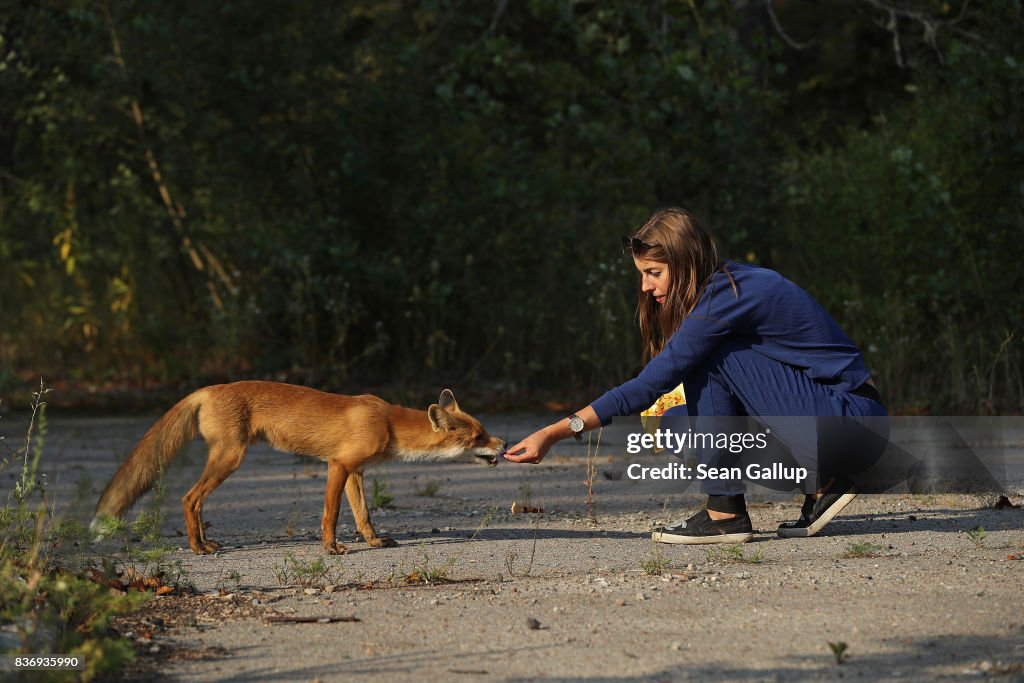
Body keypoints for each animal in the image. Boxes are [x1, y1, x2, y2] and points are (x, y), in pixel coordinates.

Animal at [90, 385, 505, 557]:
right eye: (478, 436)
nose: (503, 445)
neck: (388, 423)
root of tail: (208, 388)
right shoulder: (338, 465)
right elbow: (331, 515)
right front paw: (331, 548)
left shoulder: (357, 473)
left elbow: (364, 516)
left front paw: (373, 543)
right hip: (230, 458)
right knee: (189, 498)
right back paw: (197, 548)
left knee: (196, 500)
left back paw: (204, 543)